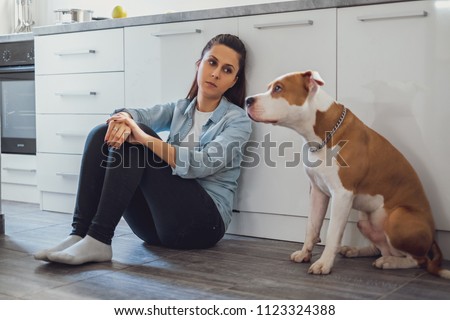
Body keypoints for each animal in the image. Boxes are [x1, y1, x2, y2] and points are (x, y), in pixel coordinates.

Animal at [246, 70, 450, 278]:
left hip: (398, 217)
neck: (321, 133)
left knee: (419, 260)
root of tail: (433, 237)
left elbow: (333, 233)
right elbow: (312, 226)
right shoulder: (317, 192)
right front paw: (305, 253)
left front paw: (324, 263)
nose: (247, 100)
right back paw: (357, 250)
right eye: (269, 87)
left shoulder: (342, 195)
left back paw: (390, 262)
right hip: (364, 221)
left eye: (278, 88)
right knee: (382, 247)